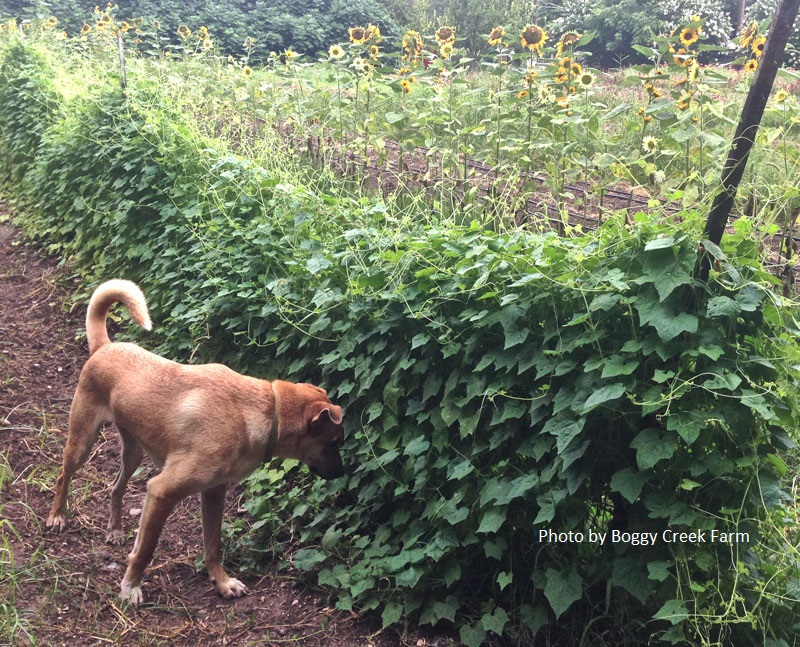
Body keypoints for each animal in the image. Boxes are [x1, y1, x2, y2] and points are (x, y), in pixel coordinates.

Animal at [45, 280, 342, 608]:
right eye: (333, 442)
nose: (342, 473)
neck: (262, 410)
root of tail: (105, 346)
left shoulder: (213, 492)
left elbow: (213, 546)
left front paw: (222, 583)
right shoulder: (161, 491)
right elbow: (145, 550)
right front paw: (130, 587)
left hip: (133, 452)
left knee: (116, 487)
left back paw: (115, 529)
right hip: (82, 441)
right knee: (63, 475)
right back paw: (57, 516)